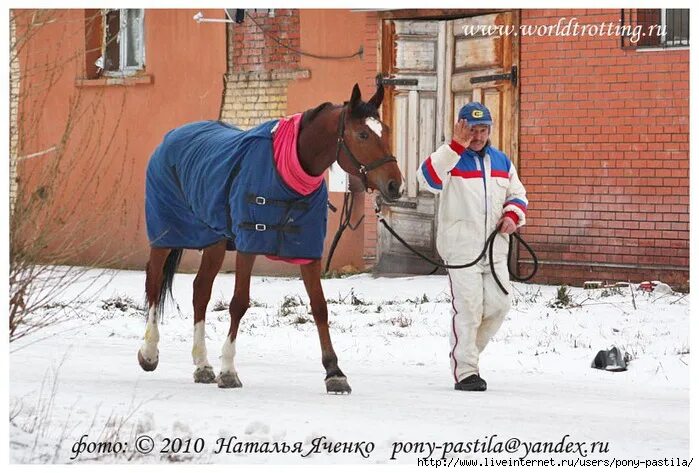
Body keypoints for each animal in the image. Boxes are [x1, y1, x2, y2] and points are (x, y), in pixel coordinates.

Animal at [137, 81, 404, 394]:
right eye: (362, 134)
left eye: (385, 130)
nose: (395, 185)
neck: (286, 175)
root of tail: (170, 138)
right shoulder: (249, 244)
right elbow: (239, 303)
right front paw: (229, 370)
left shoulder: (307, 249)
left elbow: (320, 307)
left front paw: (334, 372)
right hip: (167, 233)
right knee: (154, 282)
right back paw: (149, 352)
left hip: (214, 242)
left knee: (200, 291)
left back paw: (202, 364)